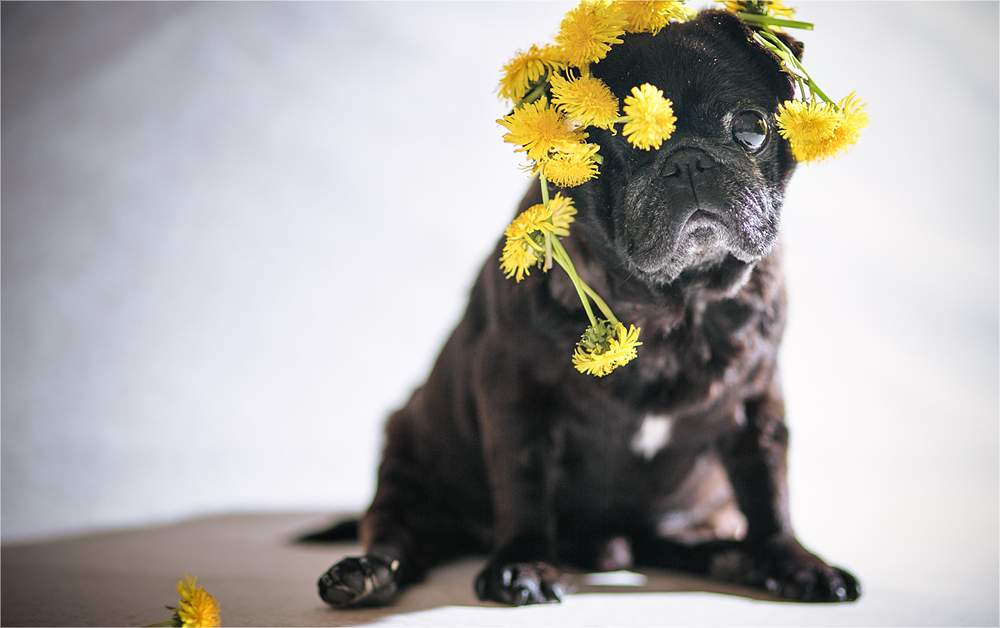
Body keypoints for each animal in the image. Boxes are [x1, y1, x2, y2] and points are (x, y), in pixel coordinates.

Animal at [318, 8, 860, 608]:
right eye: (612, 141)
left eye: (751, 127)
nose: (689, 161)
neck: (675, 305)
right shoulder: (515, 394)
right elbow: (523, 482)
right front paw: (522, 563)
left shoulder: (756, 405)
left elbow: (769, 490)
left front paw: (794, 562)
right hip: (406, 456)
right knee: (397, 530)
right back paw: (364, 574)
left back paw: (735, 558)